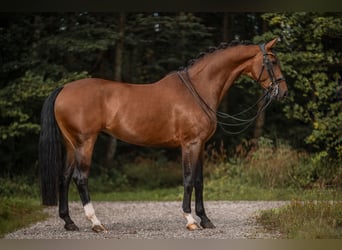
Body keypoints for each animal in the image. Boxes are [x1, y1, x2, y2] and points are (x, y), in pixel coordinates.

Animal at [38, 37, 288, 232]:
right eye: (273, 61)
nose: (283, 92)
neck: (198, 88)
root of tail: (64, 89)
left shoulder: (201, 145)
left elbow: (199, 181)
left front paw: (205, 219)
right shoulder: (190, 144)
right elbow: (188, 179)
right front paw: (190, 220)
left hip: (71, 144)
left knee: (64, 178)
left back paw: (69, 222)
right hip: (85, 142)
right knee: (80, 178)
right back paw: (96, 223)